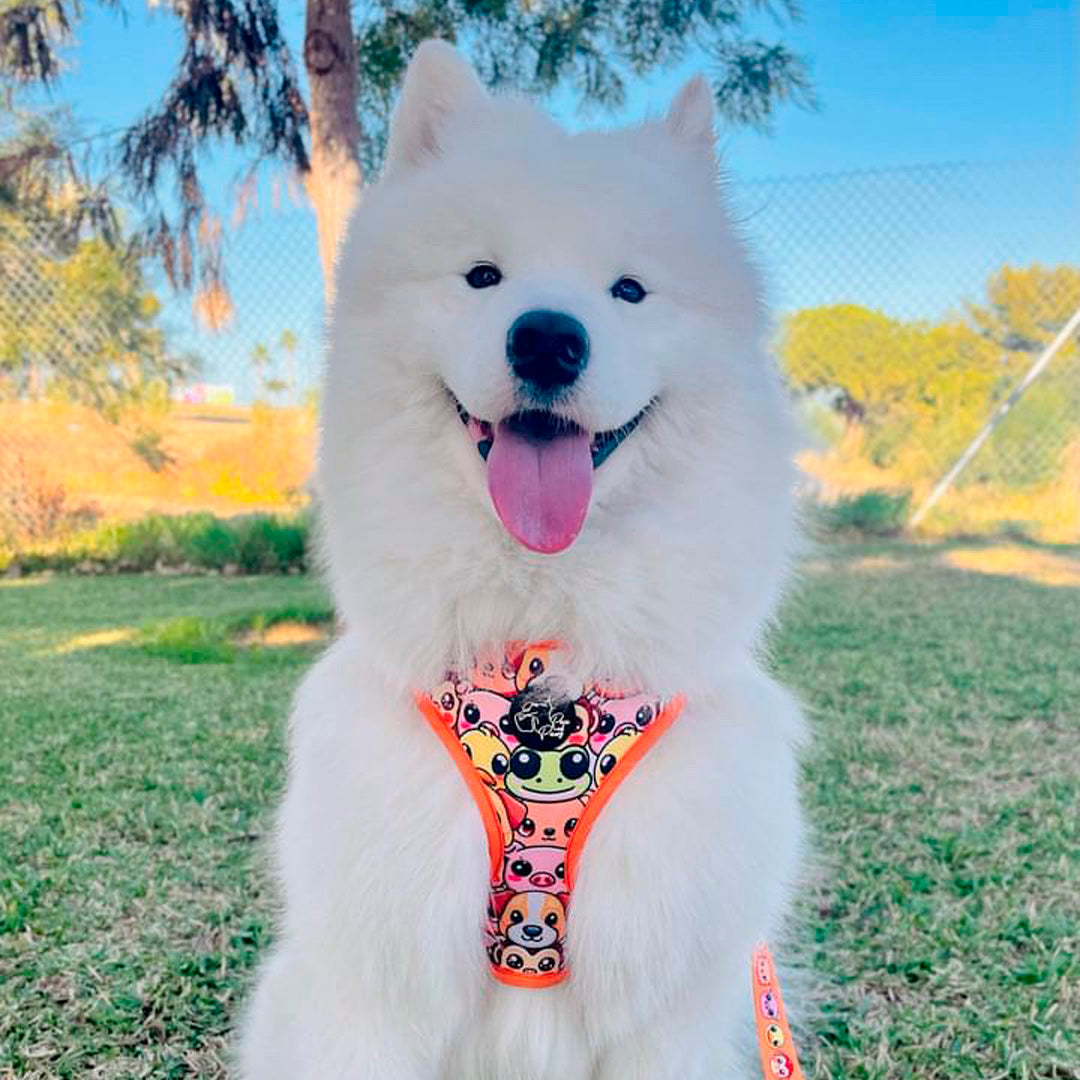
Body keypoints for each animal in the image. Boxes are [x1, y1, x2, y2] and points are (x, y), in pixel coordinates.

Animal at [240, 39, 807, 1080]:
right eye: (481, 276)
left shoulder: (663, 1002)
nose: (547, 337)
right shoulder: (377, 986)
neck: (544, 632)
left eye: (629, 291)